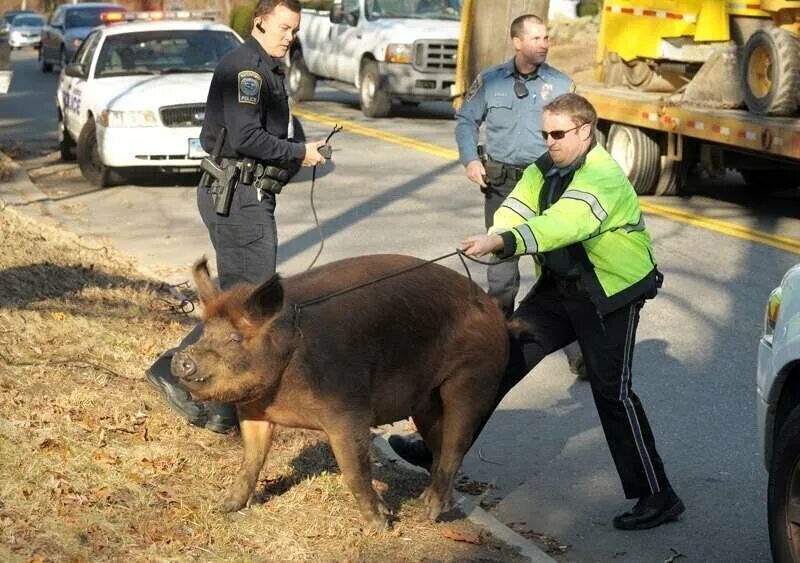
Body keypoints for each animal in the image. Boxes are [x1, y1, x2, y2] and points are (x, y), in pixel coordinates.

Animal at [172, 253, 510, 532]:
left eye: (234, 338)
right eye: (205, 331)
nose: (180, 358)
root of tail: (494, 311)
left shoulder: (349, 411)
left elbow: (355, 472)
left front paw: (381, 525)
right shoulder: (254, 412)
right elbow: (252, 459)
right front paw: (225, 506)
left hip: (474, 378)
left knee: (456, 445)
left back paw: (430, 511)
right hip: (426, 402)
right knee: (440, 447)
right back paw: (425, 503)